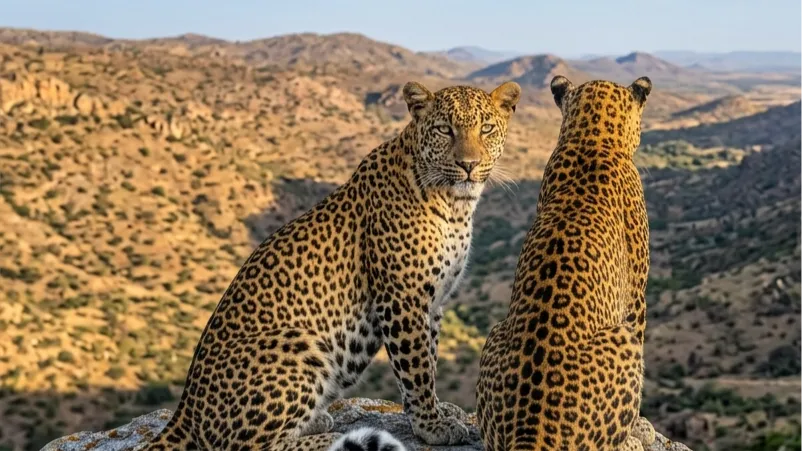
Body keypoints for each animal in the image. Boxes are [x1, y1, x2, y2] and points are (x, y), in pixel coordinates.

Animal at [139, 79, 521, 451]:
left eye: (486, 129)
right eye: (444, 129)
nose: (468, 165)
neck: (455, 205)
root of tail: (185, 409)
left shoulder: (434, 302)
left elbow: (431, 356)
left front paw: (439, 412)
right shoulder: (402, 298)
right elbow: (416, 368)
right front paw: (432, 426)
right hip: (299, 343)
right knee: (247, 446)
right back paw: (341, 437)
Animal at [475, 75, 657, 451]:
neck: (593, 138)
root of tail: (531, 432)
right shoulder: (635, 299)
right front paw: (641, 428)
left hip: (496, 332)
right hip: (624, 339)